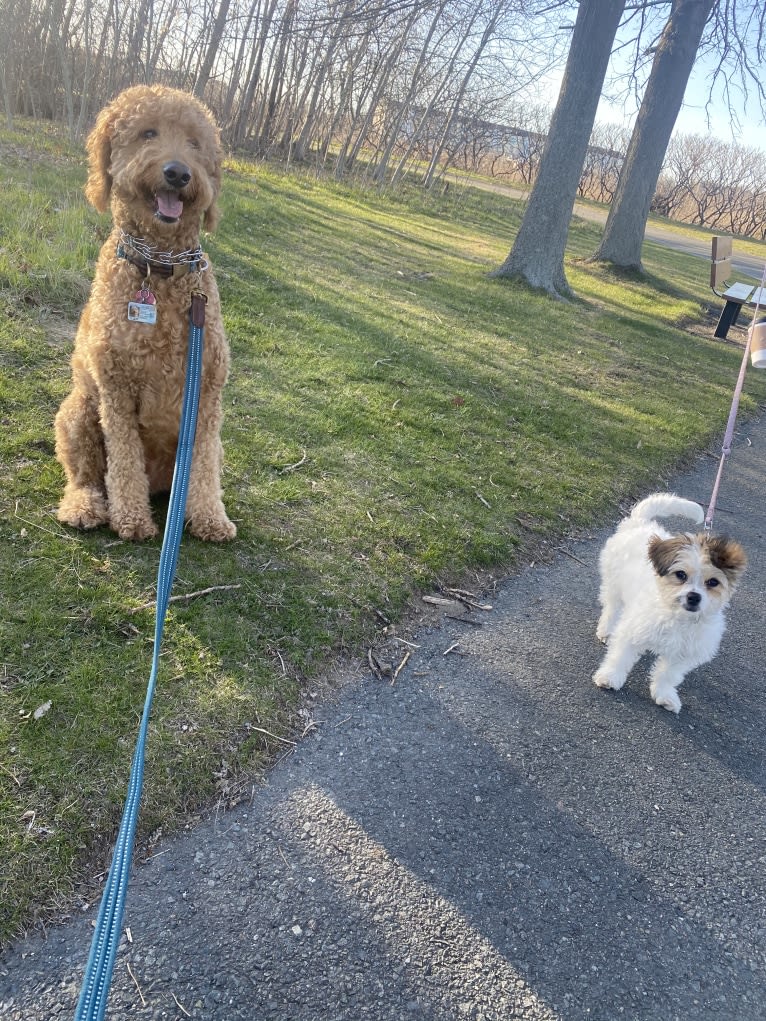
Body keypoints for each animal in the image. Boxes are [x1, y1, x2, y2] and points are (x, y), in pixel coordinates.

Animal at [55, 85, 235, 543]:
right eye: (147, 133)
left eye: (194, 142)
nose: (178, 173)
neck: (161, 266)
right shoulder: (116, 390)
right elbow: (122, 463)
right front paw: (132, 519)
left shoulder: (207, 395)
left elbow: (203, 466)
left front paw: (210, 517)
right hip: (79, 410)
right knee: (87, 475)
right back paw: (85, 506)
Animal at [592, 492, 751, 714]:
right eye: (681, 575)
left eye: (713, 582)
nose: (694, 596)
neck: (678, 617)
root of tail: (639, 522)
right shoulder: (632, 631)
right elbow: (619, 657)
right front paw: (610, 676)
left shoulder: (684, 654)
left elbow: (668, 675)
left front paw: (664, 694)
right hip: (614, 584)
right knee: (612, 608)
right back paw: (607, 630)